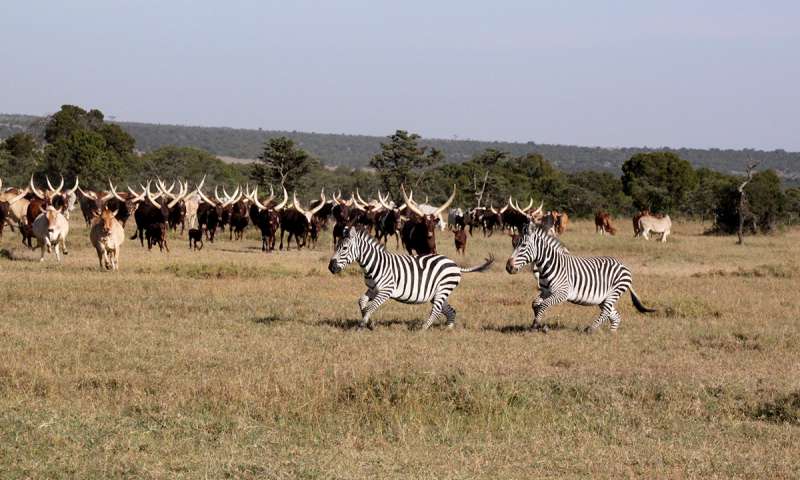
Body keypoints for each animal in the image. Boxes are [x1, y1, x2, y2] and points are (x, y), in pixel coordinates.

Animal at [326, 227, 494, 328]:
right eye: (336, 247)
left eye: (344, 248)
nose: (331, 268)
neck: (374, 264)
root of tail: (455, 265)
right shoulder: (373, 289)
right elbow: (362, 302)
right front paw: (369, 323)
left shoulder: (386, 290)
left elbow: (370, 307)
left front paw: (364, 325)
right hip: (437, 293)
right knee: (450, 310)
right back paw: (448, 328)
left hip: (442, 289)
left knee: (436, 310)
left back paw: (422, 329)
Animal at [506, 223, 656, 332]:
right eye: (514, 245)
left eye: (523, 245)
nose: (508, 267)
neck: (549, 265)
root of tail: (623, 265)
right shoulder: (546, 291)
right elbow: (535, 304)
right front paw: (538, 325)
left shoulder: (562, 293)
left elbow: (543, 305)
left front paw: (537, 324)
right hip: (604, 297)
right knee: (614, 316)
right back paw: (611, 334)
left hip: (614, 292)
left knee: (606, 312)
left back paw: (590, 329)